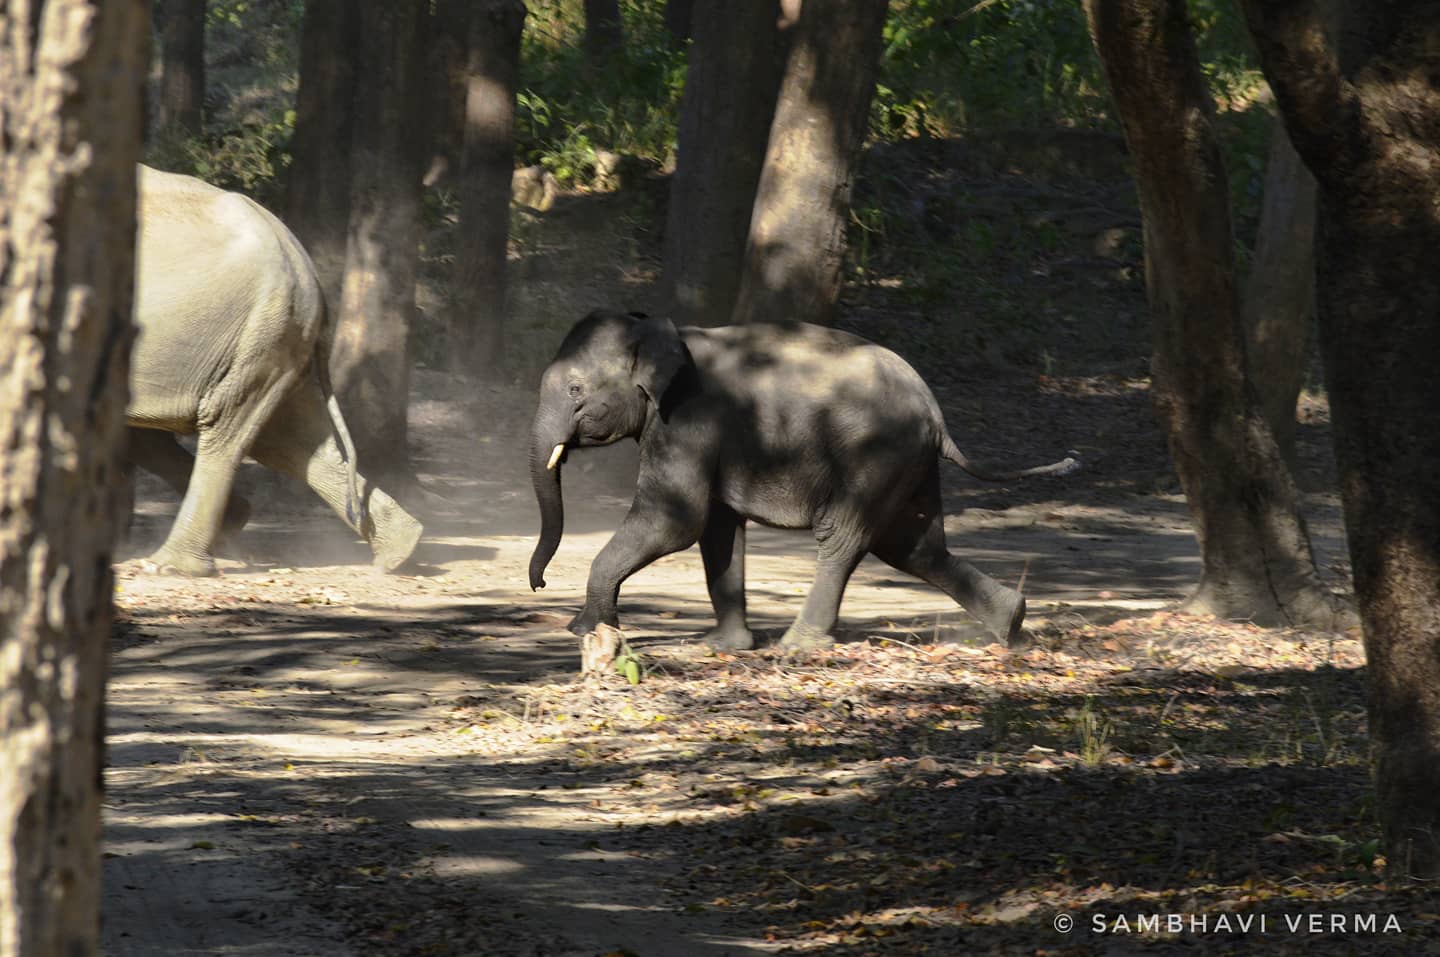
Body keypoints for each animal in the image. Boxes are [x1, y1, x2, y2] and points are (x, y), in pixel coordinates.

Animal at [127, 165, 423, 576]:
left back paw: (172, 566)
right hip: (273, 339)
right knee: (287, 440)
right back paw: (400, 552)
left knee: (227, 429)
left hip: (260, 333)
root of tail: (302, 259)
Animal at [528, 309, 1078, 652]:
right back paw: (1014, 627)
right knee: (915, 547)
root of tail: (936, 415)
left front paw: (583, 629)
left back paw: (799, 645)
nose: (540, 583)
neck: (661, 330)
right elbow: (717, 529)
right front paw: (720, 647)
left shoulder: (687, 421)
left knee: (846, 538)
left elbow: (675, 521)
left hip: (874, 454)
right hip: (908, 463)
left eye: (575, 390)